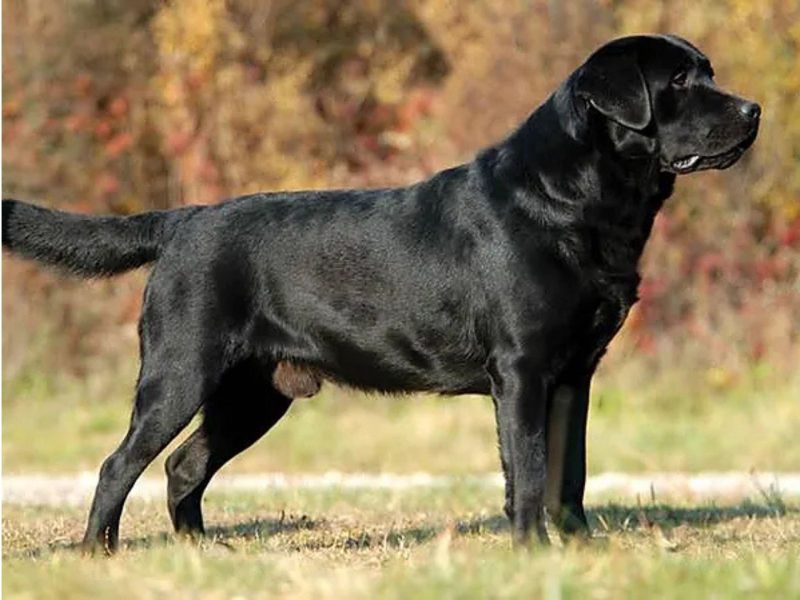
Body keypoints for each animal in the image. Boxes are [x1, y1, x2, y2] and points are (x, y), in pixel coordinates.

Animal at [3, 35, 760, 552]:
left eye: (709, 72)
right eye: (680, 79)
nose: (754, 109)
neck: (573, 201)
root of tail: (180, 218)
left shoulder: (576, 373)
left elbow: (567, 473)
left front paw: (577, 546)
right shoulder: (521, 369)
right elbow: (528, 468)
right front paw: (532, 552)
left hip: (255, 393)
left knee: (184, 466)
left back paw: (201, 552)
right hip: (181, 370)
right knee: (118, 463)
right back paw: (99, 553)